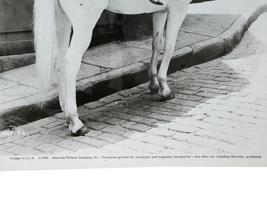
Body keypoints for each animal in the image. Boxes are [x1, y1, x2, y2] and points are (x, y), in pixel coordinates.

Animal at [34, 0, 193, 135]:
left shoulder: (160, 11)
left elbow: (156, 44)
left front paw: (154, 83)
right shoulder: (178, 7)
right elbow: (169, 47)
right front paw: (164, 89)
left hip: (62, 20)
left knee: (60, 61)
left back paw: (67, 113)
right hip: (83, 25)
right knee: (71, 61)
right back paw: (76, 122)